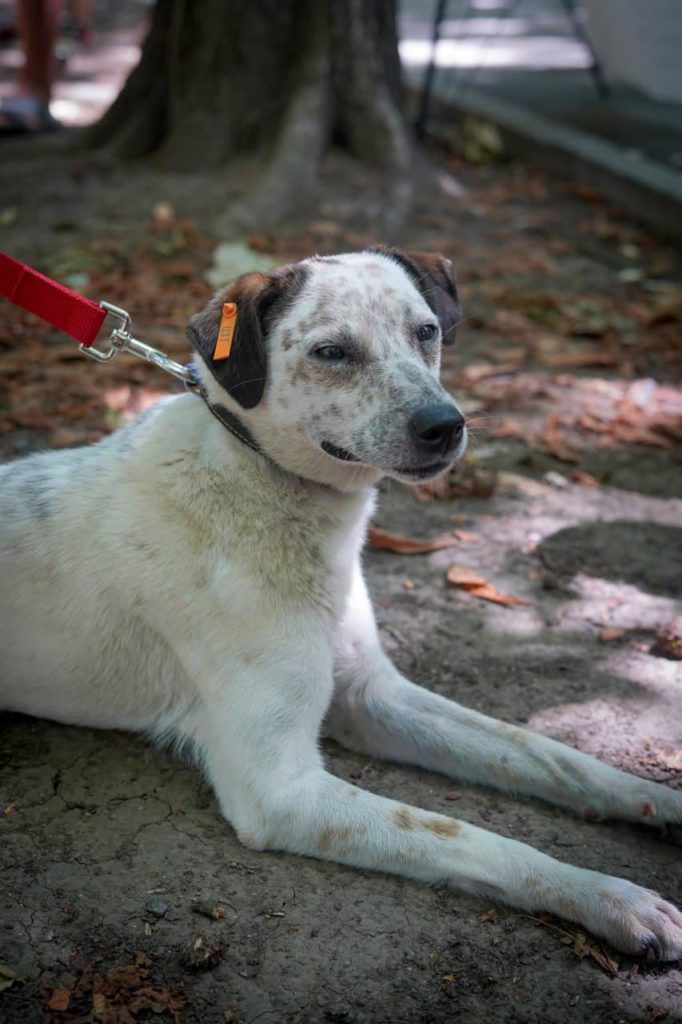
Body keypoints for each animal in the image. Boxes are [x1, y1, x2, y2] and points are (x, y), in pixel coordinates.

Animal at [1, 247, 679, 958]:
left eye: (426, 332)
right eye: (331, 351)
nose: (446, 426)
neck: (265, 484)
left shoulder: (369, 694)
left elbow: (545, 752)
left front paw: (656, 800)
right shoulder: (280, 789)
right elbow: (471, 836)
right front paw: (610, 897)